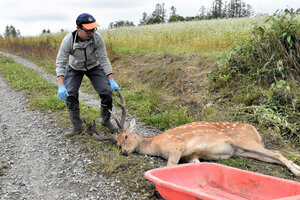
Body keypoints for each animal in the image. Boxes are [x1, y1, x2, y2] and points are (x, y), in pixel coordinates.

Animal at [91, 90, 300, 177]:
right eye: (117, 143)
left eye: (126, 136)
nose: (124, 152)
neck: (156, 145)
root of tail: (254, 129)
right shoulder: (190, 156)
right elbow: (197, 166)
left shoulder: (176, 146)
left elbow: (169, 167)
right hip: (244, 151)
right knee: (273, 157)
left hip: (245, 140)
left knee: (277, 152)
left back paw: (296, 171)